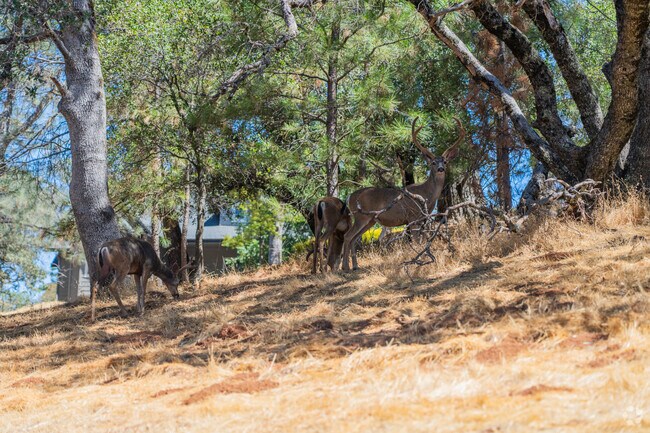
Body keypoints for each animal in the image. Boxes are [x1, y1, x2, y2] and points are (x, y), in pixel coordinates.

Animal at [341, 117, 465, 271]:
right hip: (361, 217)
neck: (427, 195)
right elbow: (417, 240)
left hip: (370, 220)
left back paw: (355, 266)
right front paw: (419, 261)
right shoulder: (412, 216)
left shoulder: (422, 218)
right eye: (433, 163)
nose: (441, 169)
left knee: (353, 238)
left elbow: (422, 239)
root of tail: (349, 197)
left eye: (446, 162)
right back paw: (345, 267)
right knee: (347, 236)